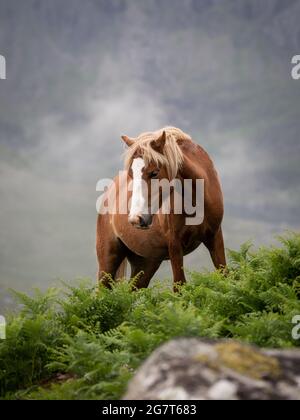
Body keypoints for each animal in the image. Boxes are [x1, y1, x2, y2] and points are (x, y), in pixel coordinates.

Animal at [96, 126, 225, 290]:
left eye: (154, 173)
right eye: (131, 173)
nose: (135, 219)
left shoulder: (215, 237)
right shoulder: (175, 245)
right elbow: (179, 286)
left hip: (146, 263)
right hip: (108, 261)